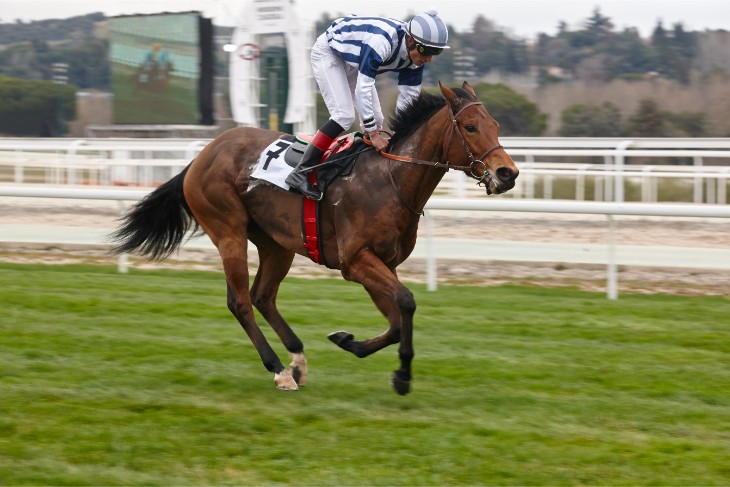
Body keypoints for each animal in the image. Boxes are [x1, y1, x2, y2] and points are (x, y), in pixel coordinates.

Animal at [111, 82, 516, 396]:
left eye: (496, 125)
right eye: (470, 126)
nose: (507, 173)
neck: (392, 179)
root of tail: (200, 157)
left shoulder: (382, 263)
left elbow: (397, 319)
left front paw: (350, 342)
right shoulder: (356, 261)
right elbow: (406, 301)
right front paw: (402, 375)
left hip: (276, 243)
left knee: (262, 296)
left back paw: (297, 361)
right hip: (228, 231)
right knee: (240, 301)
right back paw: (278, 369)